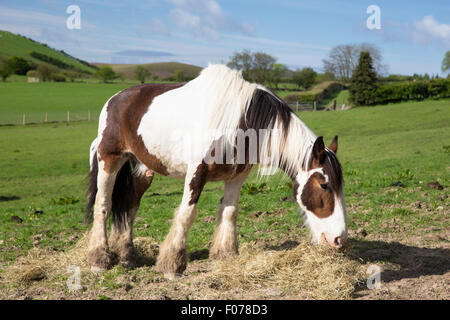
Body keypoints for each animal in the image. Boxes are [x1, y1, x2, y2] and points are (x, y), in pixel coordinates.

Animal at [85, 64, 348, 278]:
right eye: (324, 184)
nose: (339, 239)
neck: (240, 121)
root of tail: (115, 99)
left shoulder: (237, 176)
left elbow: (229, 211)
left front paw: (225, 254)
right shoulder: (196, 173)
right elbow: (186, 214)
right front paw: (172, 265)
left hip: (143, 169)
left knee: (130, 205)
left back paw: (127, 257)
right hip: (109, 160)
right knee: (103, 204)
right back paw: (99, 259)